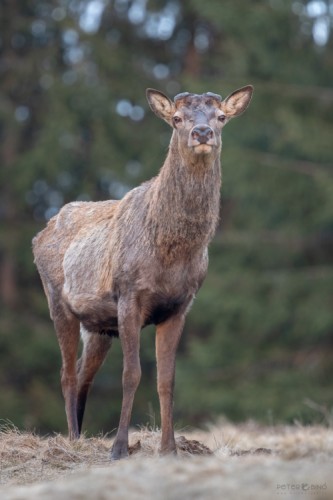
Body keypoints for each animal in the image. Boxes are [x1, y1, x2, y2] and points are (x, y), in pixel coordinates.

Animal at [33, 84, 252, 458]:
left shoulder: (179, 306)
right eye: (176, 118)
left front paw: (169, 448)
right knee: (66, 373)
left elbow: (167, 379)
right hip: (57, 300)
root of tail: (38, 235)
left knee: (84, 373)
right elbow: (131, 374)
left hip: (99, 325)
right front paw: (119, 448)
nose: (202, 132)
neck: (170, 253)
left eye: (221, 116)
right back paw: (73, 440)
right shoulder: (129, 295)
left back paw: (81, 435)